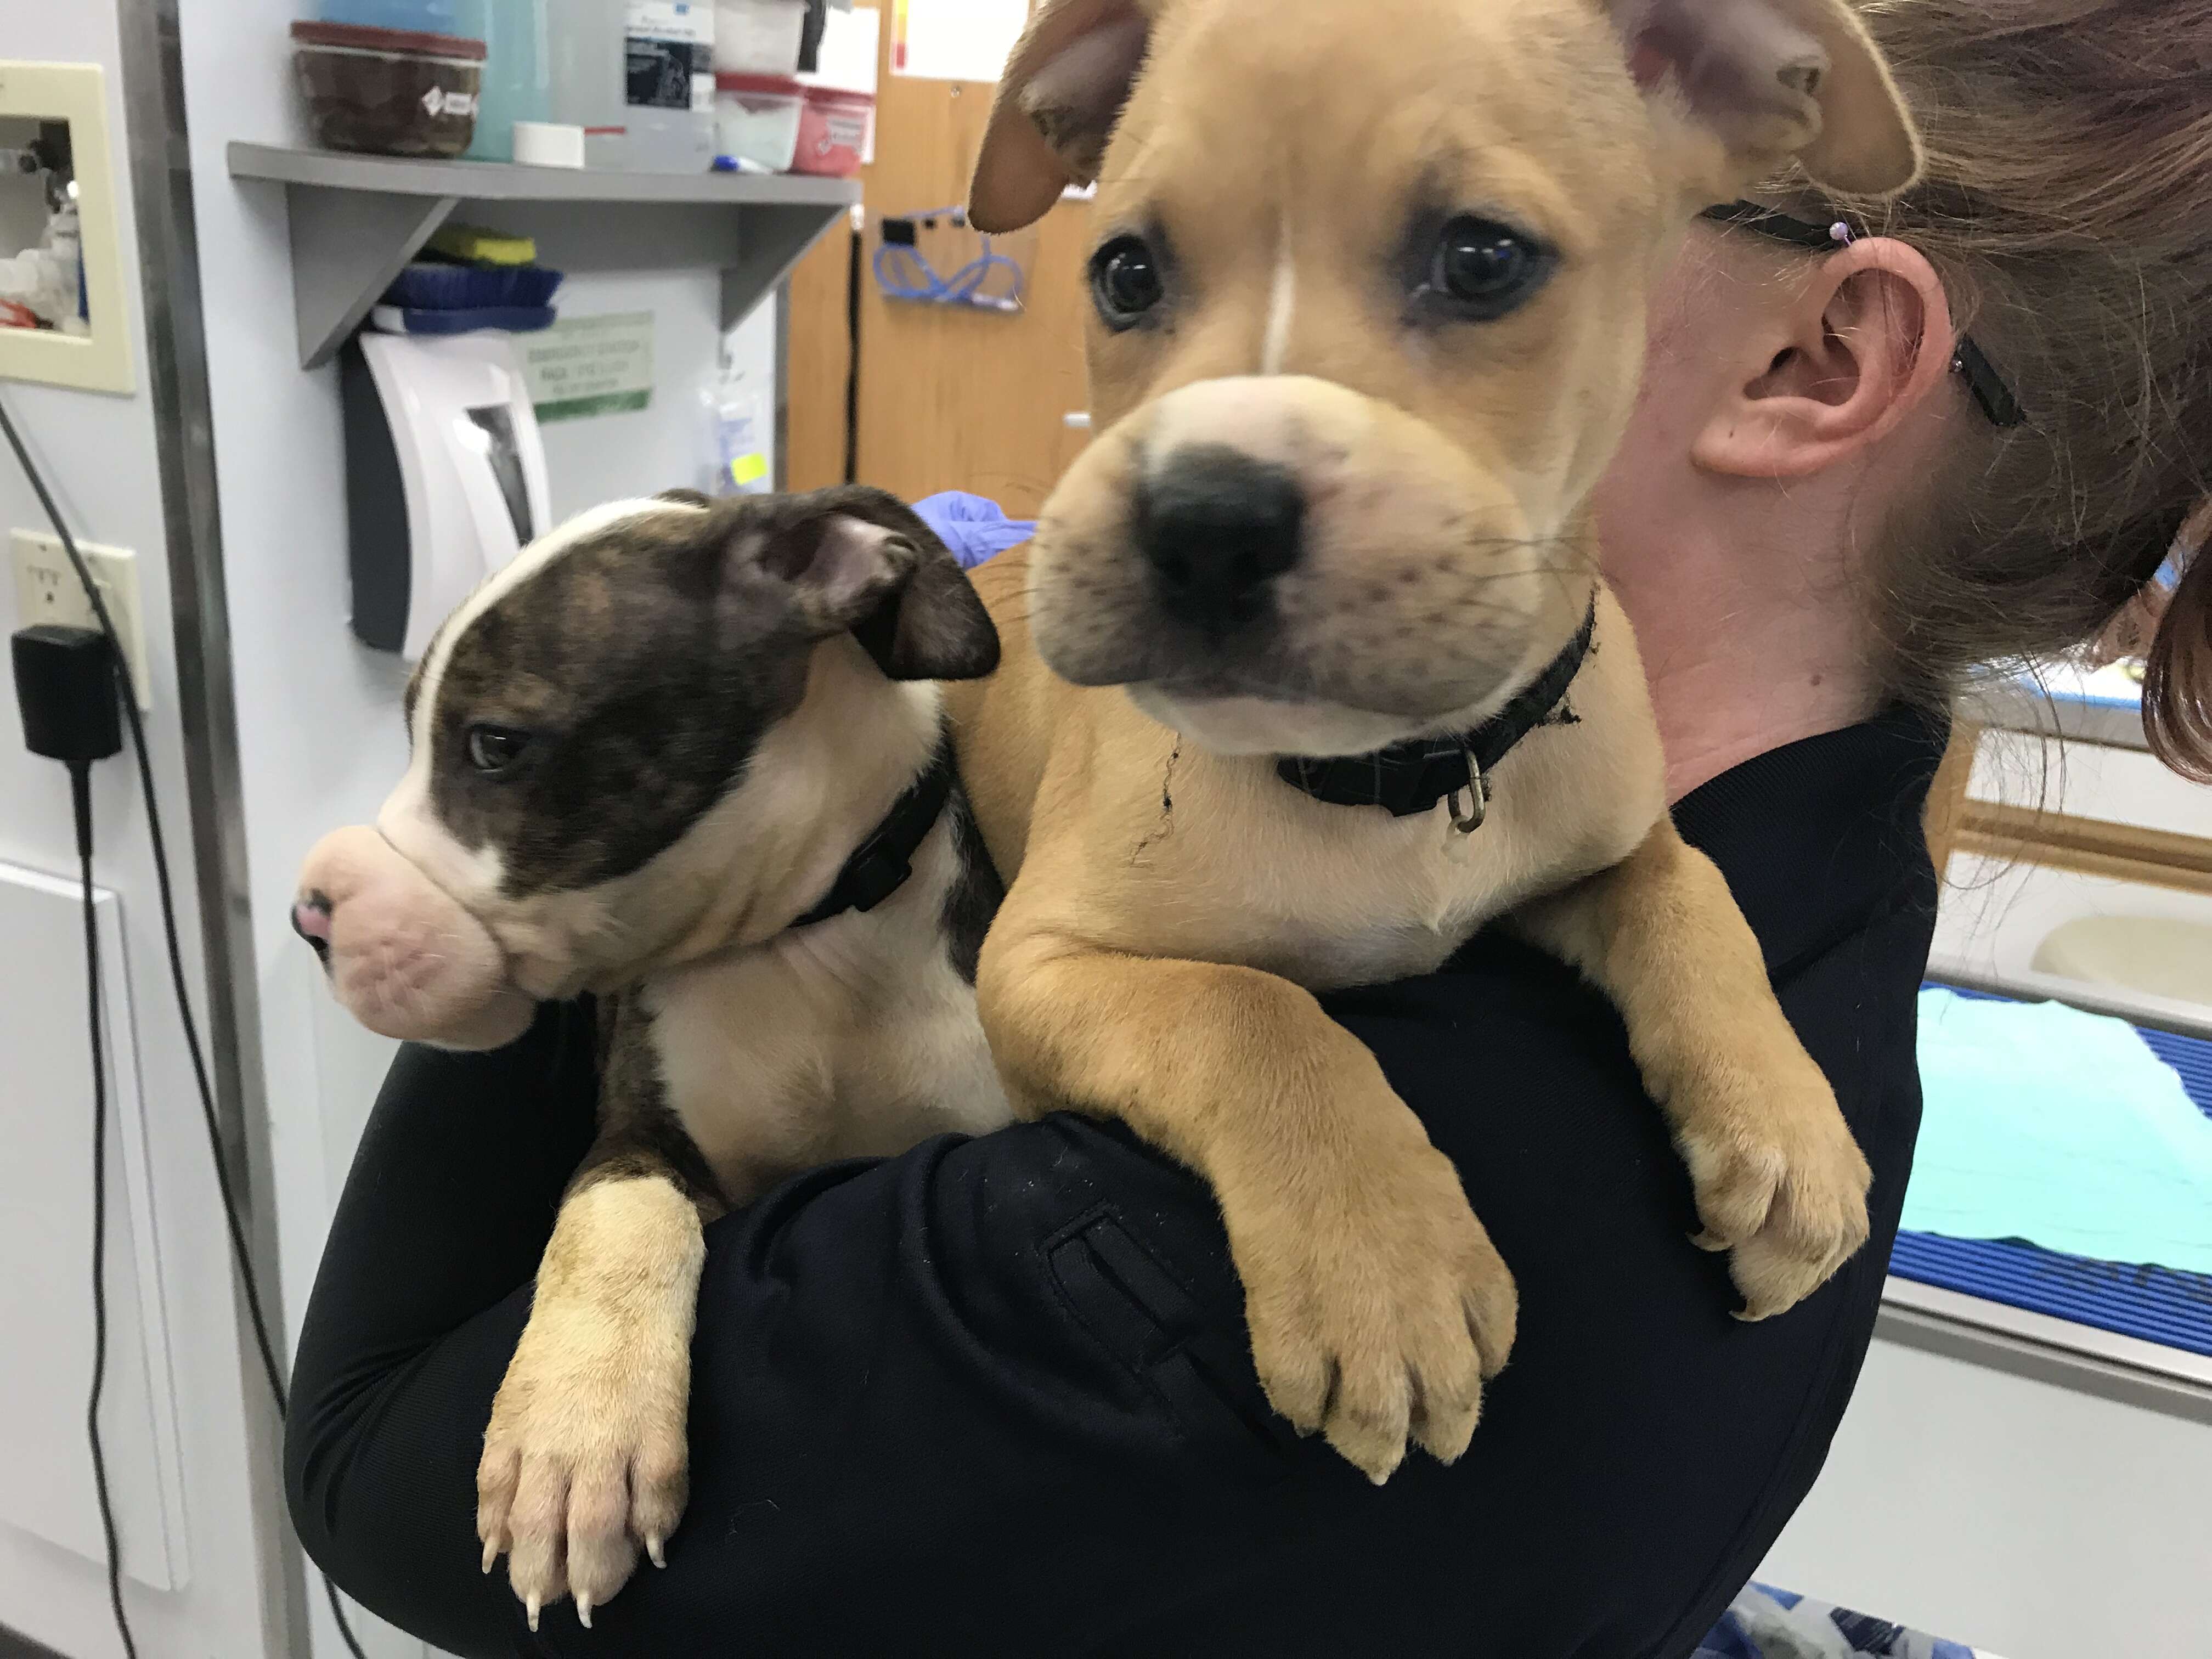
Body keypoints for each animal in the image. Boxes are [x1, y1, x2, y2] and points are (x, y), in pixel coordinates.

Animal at [951, 0, 1920, 1486]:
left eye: (1481, 259)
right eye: (1123, 272)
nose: (1204, 518)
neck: (1392, 778)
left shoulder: (1607, 834)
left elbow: (1691, 895)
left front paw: (1786, 1120)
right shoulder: (1042, 961)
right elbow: (1255, 1013)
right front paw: (1382, 1271)